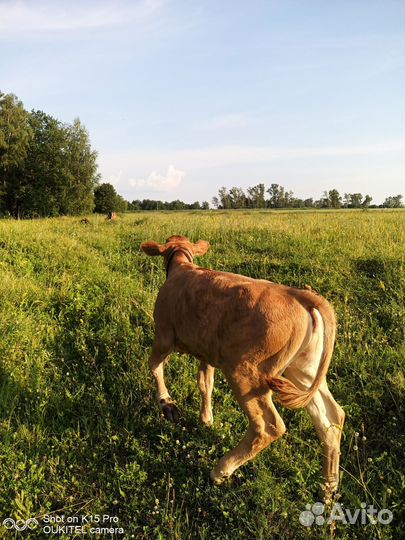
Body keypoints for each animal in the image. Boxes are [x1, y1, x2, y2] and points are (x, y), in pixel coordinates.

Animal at [140, 234, 342, 496]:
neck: (183, 265)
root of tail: (299, 295)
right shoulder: (207, 351)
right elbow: (205, 383)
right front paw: (207, 418)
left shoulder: (163, 335)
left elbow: (154, 367)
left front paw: (167, 404)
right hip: (303, 370)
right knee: (331, 417)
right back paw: (329, 487)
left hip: (246, 373)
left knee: (268, 426)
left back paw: (220, 471)